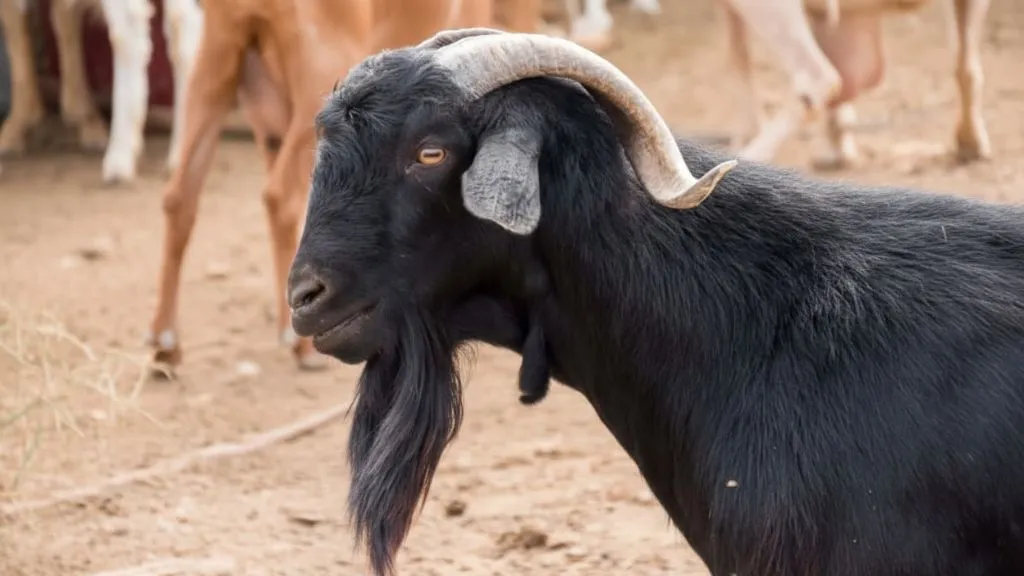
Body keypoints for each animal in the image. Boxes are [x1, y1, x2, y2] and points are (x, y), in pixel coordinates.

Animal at [0, 0, 200, 183]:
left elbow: (15, 21)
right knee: (183, 24)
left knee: (129, 29)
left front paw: (14, 129)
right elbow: (60, 16)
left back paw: (119, 161)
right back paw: (179, 156)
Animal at [144, 0, 556, 375]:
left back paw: (165, 343)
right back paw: (301, 345)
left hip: (218, 64)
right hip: (318, 72)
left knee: (180, 195)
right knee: (281, 196)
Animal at [723, 0, 991, 169]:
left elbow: (738, 63)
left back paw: (748, 159)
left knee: (819, 77)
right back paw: (971, 143)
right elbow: (739, 59)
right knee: (965, 67)